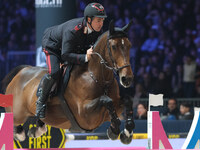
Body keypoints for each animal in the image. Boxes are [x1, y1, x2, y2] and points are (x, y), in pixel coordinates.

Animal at [1, 20, 135, 144]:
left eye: (129, 45)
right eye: (114, 46)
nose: (127, 79)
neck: (98, 78)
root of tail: (21, 72)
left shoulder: (114, 106)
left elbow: (127, 100)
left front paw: (127, 132)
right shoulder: (85, 115)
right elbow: (107, 100)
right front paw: (114, 130)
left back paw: (36, 130)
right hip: (17, 115)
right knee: (16, 128)